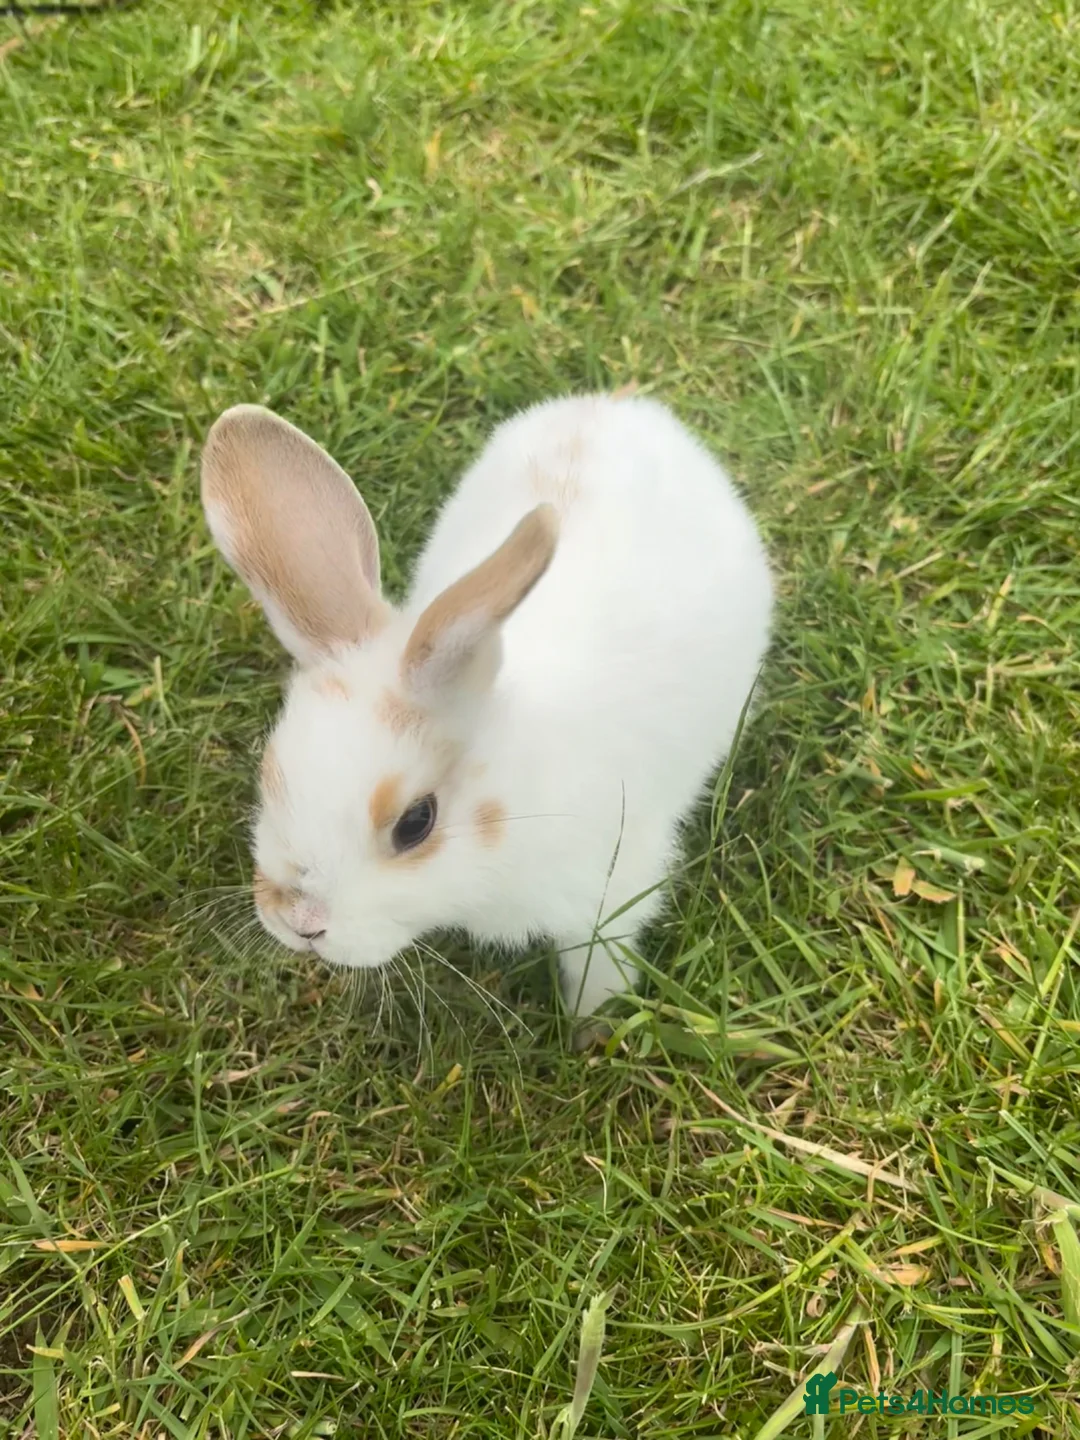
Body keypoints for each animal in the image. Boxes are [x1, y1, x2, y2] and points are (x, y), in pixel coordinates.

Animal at [200, 392, 773, 1027]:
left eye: (416, 822)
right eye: (269, 775)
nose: (301, 923)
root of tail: (617, 407)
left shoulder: (612, 890)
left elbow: (599, 968)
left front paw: (590, 1029)